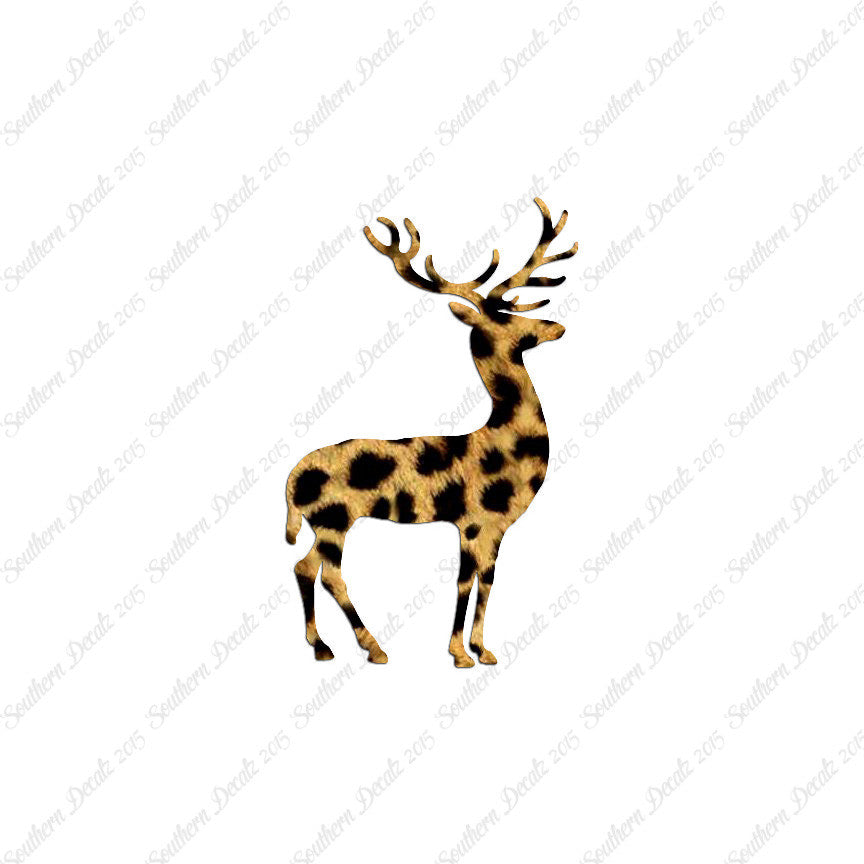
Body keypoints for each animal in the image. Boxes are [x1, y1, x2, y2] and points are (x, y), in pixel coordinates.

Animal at [285, 198, 577, 667]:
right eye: (505, 317)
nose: (557, 326)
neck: (507, 440)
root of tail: (290, 482)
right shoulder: (474, 522)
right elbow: (465, 582)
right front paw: (460, 654)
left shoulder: (491, 528)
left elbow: (487, 582)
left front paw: (482, 650)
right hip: (333, 519)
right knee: (328, 572)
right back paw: (372, 648)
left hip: (326, 523)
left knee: (305, 566)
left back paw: (325, 647)